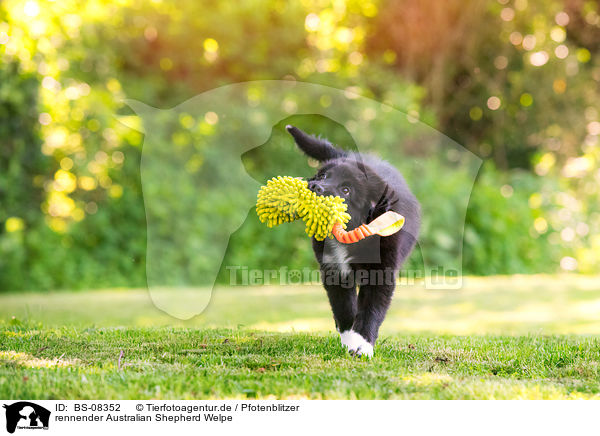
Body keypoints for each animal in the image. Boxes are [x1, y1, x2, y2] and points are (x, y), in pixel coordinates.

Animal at [288, 124, 422, 356]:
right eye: (324, 175)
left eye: (346, 190)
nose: (314, 186)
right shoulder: (334, 269)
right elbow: (343, 307)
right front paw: (349, 338)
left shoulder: (381, 272)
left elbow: (371, 309)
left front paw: (363, 344)